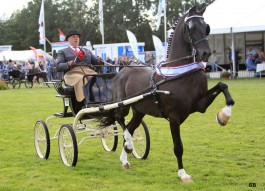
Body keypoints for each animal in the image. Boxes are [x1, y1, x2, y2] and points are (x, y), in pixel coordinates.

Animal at [99, 5, 233, 182]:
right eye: (190, 27)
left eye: (206, 27)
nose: (205, 53)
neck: (181, 73)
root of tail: (123, 69)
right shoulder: (174, 117)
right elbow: (178, 147)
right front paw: (183, 174)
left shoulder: (200, 105)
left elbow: (222, 85)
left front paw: (223, 115)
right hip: (123, 105)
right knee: (120, 120)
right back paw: (129, 143)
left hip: (139, 111)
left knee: (130, 126)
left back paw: (125, 159)